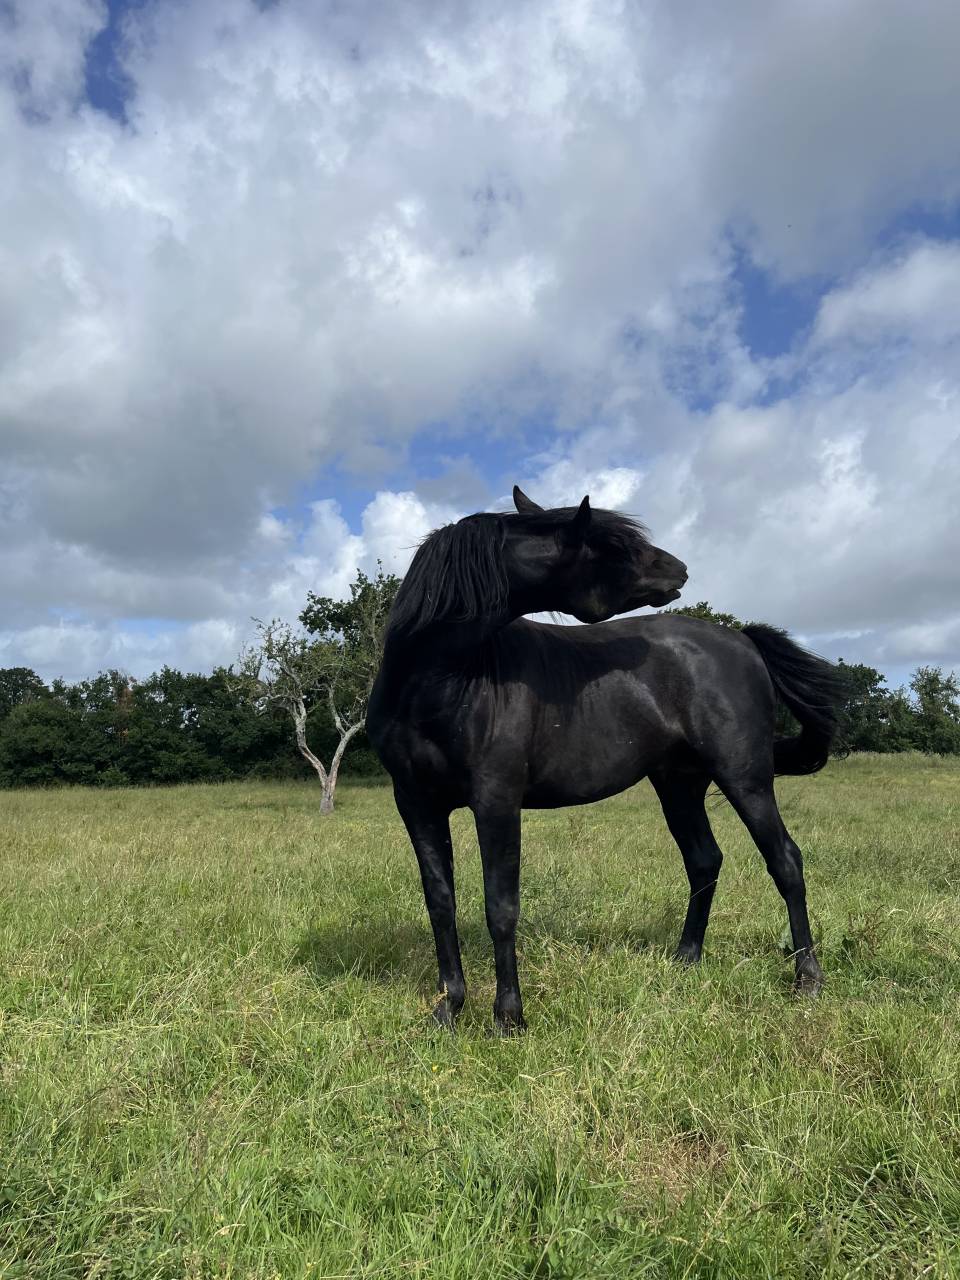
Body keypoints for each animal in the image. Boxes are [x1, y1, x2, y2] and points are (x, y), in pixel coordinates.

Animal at [366, 486, 844, 1033]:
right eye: (614, 546)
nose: (679, 569)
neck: (435, 680)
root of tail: (741, 639)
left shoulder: (496, 801)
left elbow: (500, 907)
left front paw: (509, 1017)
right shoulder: (416, 803)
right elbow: (440, 903)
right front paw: (449, 1007)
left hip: (745, 779)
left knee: (785, 861)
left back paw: (807, 977)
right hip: (679, 785)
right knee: (704, 860)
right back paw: (686, 958)